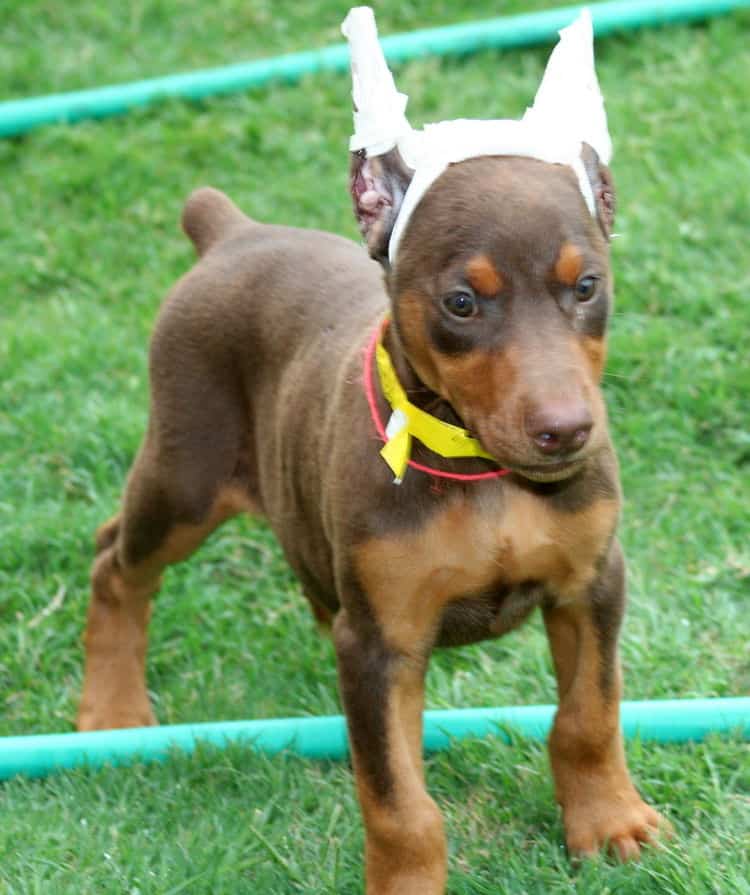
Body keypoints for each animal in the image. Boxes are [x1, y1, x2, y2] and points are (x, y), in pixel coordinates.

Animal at [79, 138, 668, 888]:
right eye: (461, 302)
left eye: (587, 286)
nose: (566, 432)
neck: (481, 471)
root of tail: (234, 232)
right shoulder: (377, 645)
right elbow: (397, 802)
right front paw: (407, 885)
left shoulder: (591, 583)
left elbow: (590, 713)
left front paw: (611, 822)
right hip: (187, 477)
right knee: (116, 561)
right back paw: (112, 710)